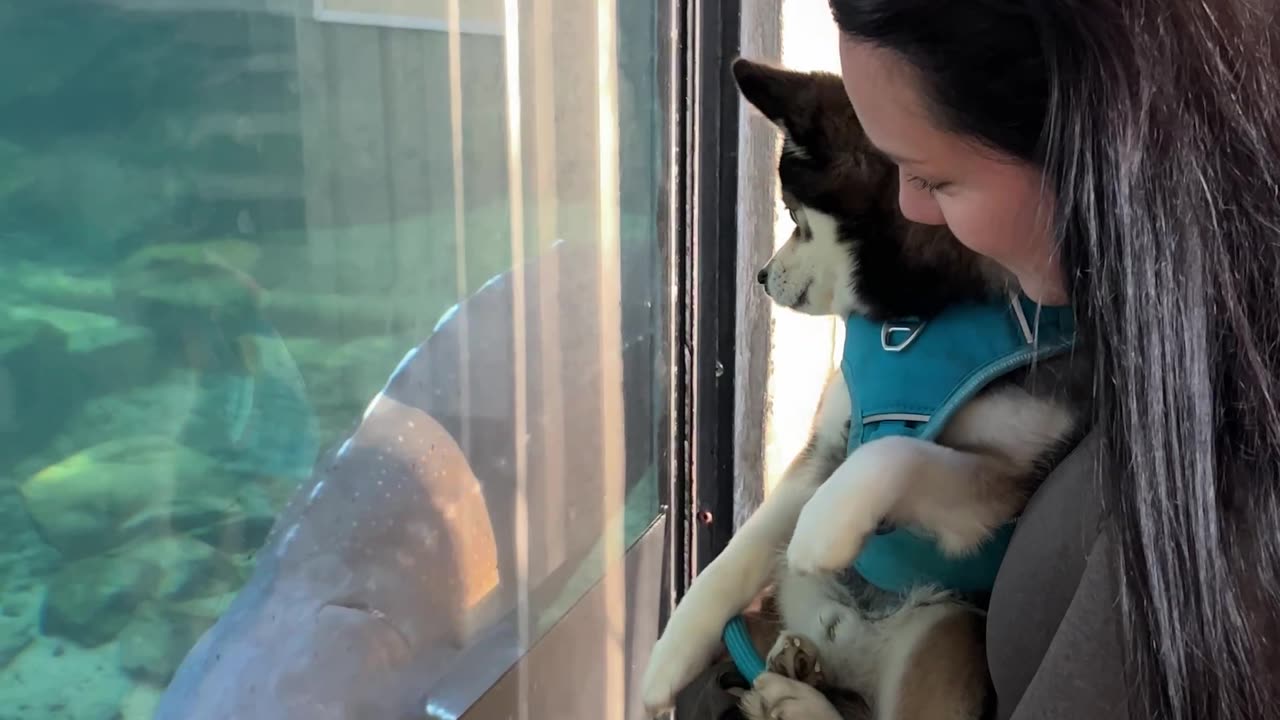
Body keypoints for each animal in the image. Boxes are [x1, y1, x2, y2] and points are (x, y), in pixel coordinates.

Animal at [640, 60, 1090, 717]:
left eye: (795, 219)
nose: (761, 276)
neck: (920, 314)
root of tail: (852, 651)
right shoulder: (825, 446)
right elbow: (739, 552)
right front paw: (669, 654)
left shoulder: (1005, 479)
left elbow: (895, 451)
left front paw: (823, 526)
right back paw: (794, 673)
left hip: (940, 632)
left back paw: (795, 699)